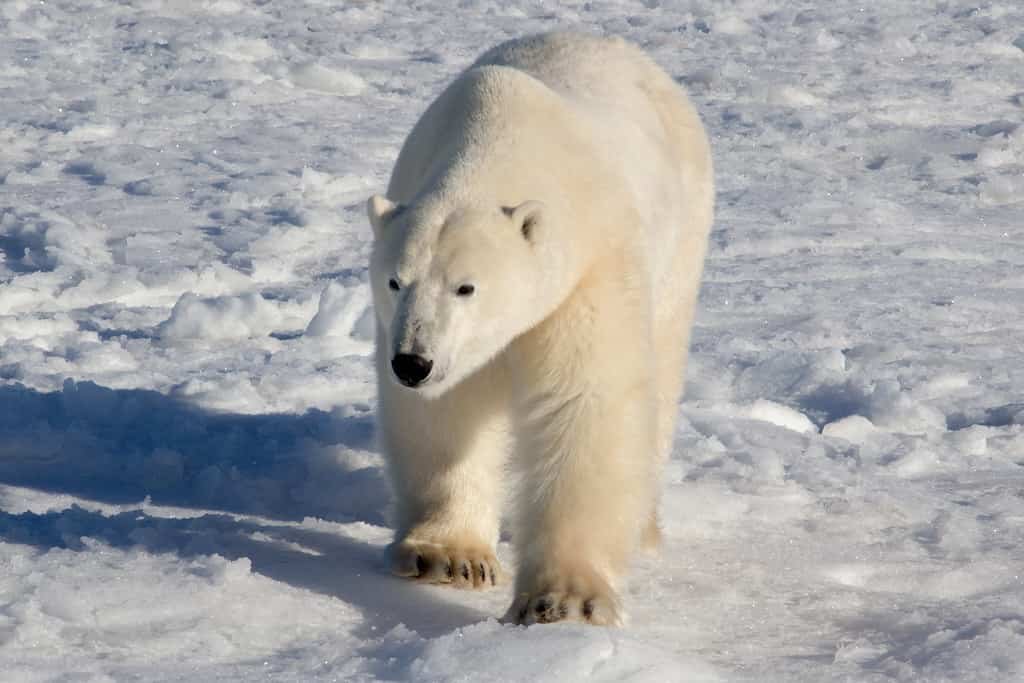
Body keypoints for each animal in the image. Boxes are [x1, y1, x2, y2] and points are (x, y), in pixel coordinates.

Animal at [368, 34, 712, 626]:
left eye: (466, 287)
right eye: (395, 280)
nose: (412, 363)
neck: (499, 135)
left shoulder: (588, 267)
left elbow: (583, 401)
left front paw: (564, 598)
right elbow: (450, 411)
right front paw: (448, 557)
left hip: (684, 237)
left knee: (662, 368)